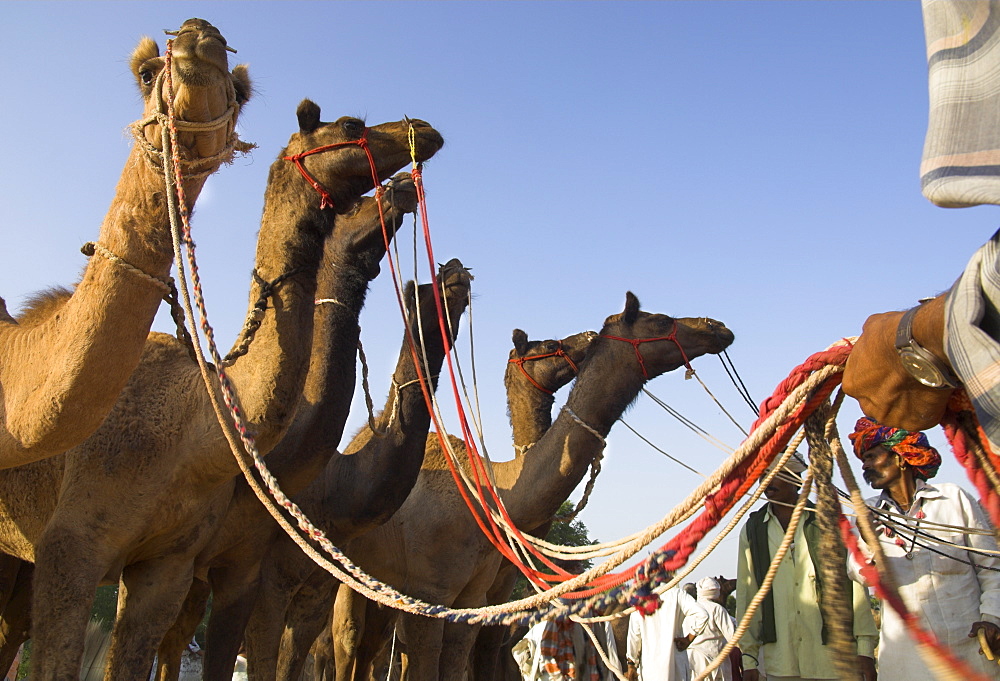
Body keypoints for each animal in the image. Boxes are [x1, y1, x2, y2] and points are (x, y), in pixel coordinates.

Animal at [324, 294, 732, 680]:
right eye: (660, 320)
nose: (718, 326)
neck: (495, 494)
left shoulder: (473, 597)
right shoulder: (429, 589)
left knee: (370, 645)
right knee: (347, 637)